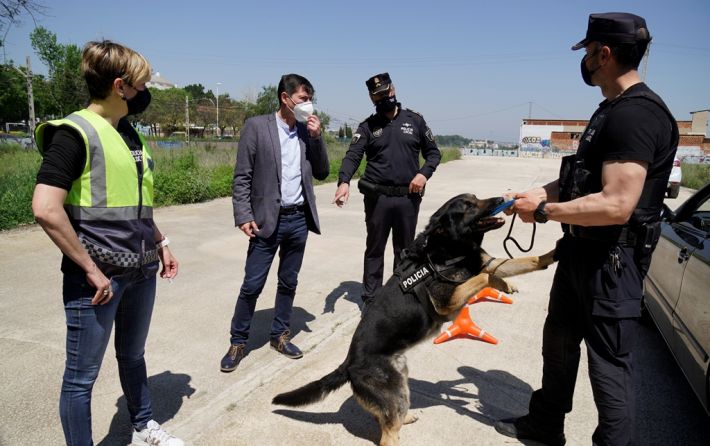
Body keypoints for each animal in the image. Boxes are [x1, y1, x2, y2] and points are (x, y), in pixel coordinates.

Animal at [272, 193, 556, 444]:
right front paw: (500, 282)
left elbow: (524, 261)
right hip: (395, 391)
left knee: (386, 420)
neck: (449, 248)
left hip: (401, 383)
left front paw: (552, 253)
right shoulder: (448, 302)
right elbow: (483, 277)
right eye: (467, 205)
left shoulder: (486, 263)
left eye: (477, 198)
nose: (501, 199)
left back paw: (404, 419)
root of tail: (348, 364)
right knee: (387, 435)